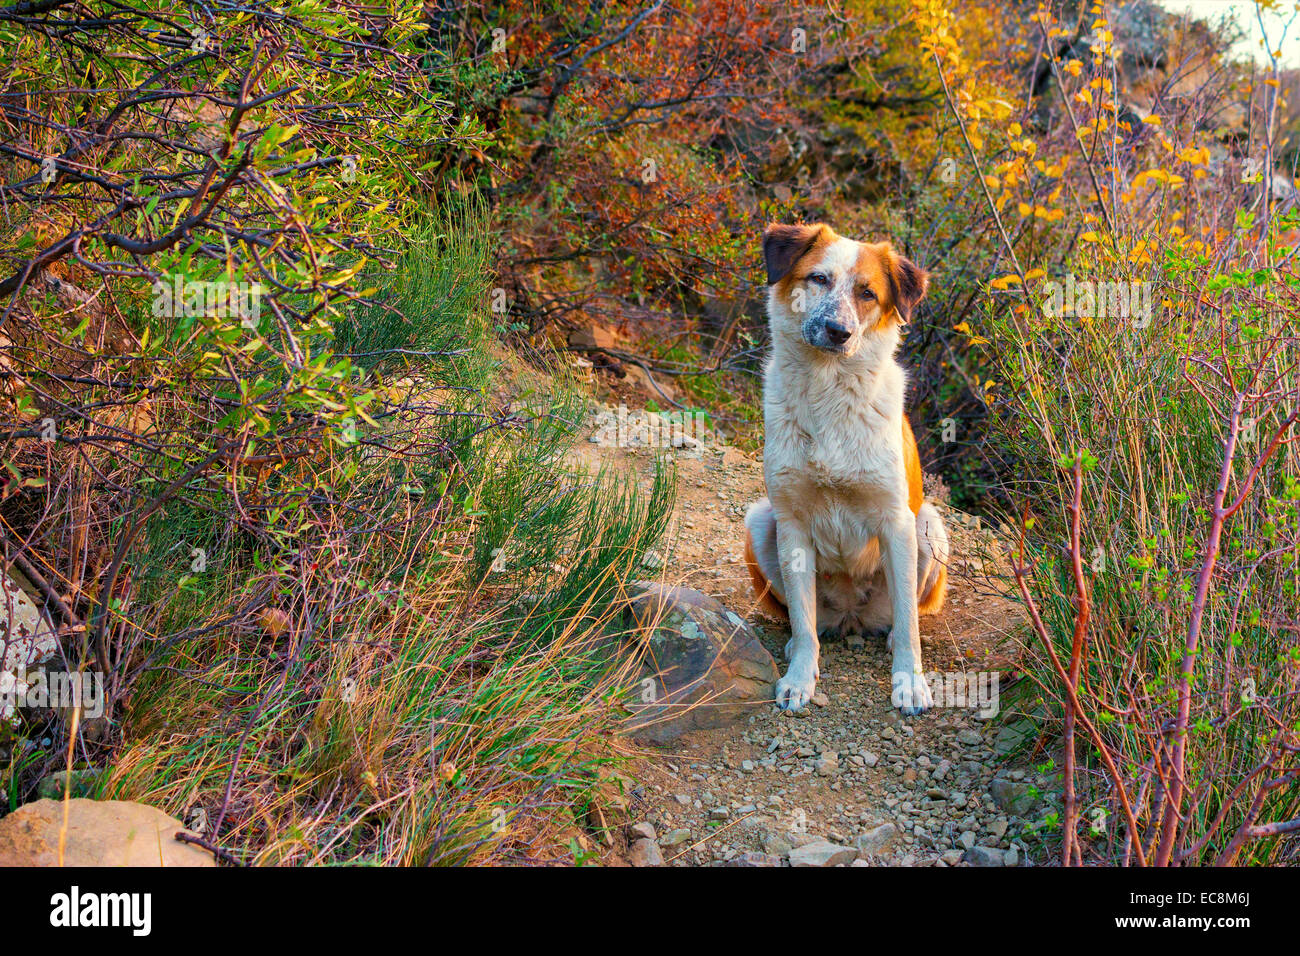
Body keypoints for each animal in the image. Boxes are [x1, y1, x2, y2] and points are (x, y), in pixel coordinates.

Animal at [748, 223, 951, 712]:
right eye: (819, 278)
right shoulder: (791, 522)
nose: (838, 331)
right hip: (760, 520)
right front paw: (799, 679)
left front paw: (910, 682)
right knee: (806, 619)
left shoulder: (897, 521)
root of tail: (851, 619)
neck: (828, 389)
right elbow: (802, 621)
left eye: (867, 293)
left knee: (905, 617)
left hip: (928, 525)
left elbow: (910, 624)